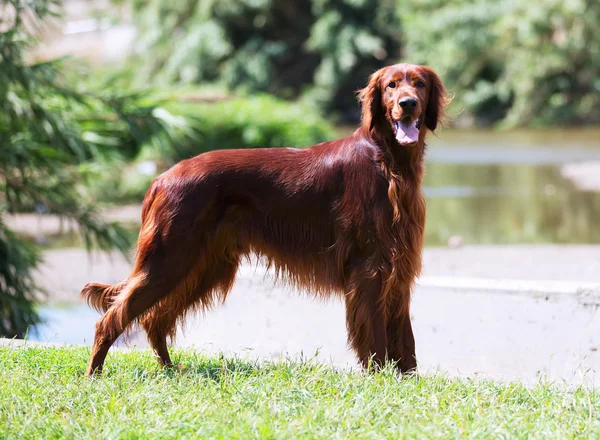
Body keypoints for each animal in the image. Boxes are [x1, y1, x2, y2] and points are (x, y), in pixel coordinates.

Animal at [82, 63, 448, 376]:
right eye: (391, 85)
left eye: (419, 83)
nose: (408, 104)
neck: (387, 161)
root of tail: (161, 178)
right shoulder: (369, 266)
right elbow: (375, 337)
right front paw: (379, 378)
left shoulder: (399, 267)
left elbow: (406, 340)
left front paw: (408, 381)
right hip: (169, 260)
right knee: (111, 319)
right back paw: (94, 375)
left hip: (203, 267)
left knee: (154, 320)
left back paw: (170, 370)